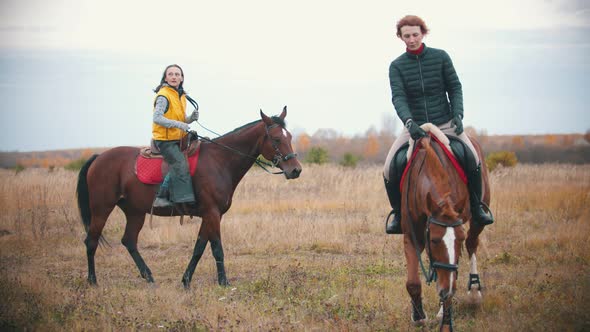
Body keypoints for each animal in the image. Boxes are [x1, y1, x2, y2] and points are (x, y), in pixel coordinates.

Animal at [76, 107, 302, 286]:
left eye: (290, 137)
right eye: (276, 139)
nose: (295, 170)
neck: (220, 161)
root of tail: (98, 157)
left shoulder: (211, 215)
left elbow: (199, 248)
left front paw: (186, 281)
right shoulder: (212, 213)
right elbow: (217, 248)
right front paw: (224, 282)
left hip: (135, 212)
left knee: (129, 240)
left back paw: (148, 276)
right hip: (101, 209)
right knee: (91, 241)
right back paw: (93, 281)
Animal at [402, 126, 490, 330]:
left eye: (460, 239)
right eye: (434, 240)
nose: (447, 291)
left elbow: (453, 273)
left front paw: (445, 318)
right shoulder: (411, 234)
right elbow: (413, 282)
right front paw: (418, 316)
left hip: (477, 221)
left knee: (472, 244)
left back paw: (474, 293)